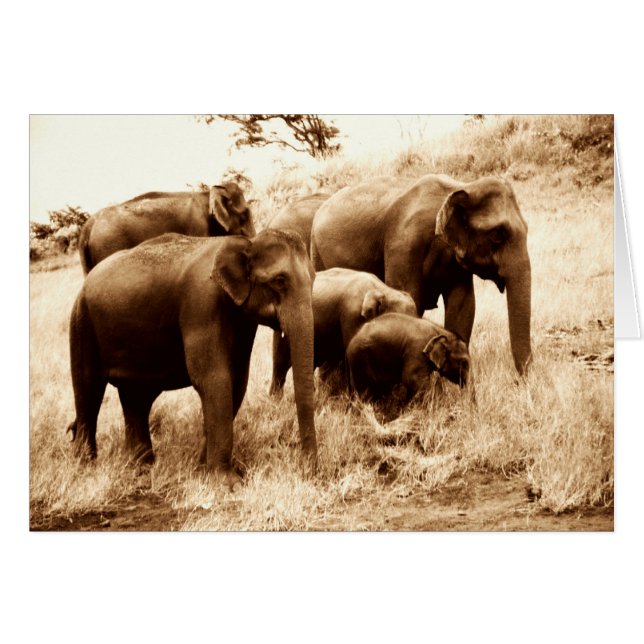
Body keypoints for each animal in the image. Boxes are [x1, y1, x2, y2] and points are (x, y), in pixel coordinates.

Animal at [67, 229, 317, 489]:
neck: (245, 244)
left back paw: (141, 465)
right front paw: (229, 484)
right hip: (81, 322)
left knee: (136, 396)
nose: (308, 473)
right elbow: (214, 379)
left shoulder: (242, 321)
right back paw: (86, 465)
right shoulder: (201, 305)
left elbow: (236, 381)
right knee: (88, 389)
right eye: (280, 281)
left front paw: (201, 469)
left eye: (313, 279)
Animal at [310, 174, 531, 374]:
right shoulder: (404, 243)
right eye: (498, 235)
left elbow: (463, 305)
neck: (462, 186)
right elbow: (410, 295)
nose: (519, 381)